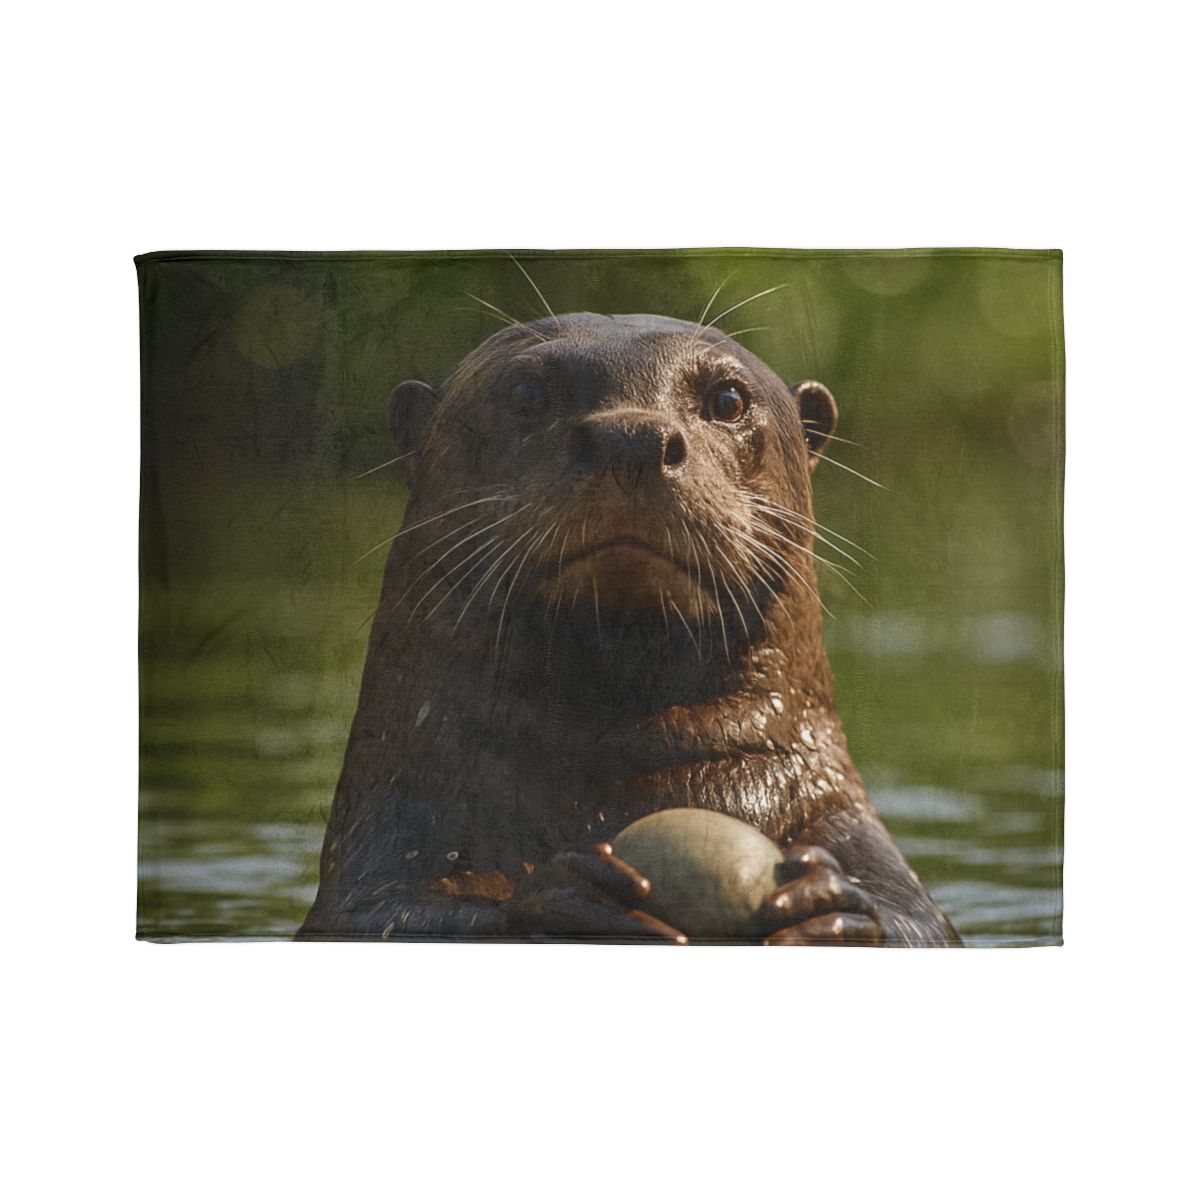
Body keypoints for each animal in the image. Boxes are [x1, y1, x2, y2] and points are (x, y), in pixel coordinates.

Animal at [299, 312, 959, 946]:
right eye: (529, 391)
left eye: (727, 399)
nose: (634, 438)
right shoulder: (393, 834)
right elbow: (388, 915)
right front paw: (567, 898)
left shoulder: (844, 823)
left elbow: (914, 923)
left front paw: (823, 902)